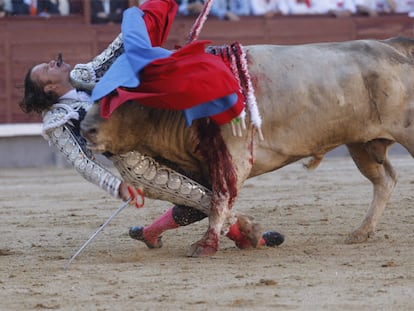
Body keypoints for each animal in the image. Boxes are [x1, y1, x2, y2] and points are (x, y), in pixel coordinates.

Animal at [81, 36, 414, 258]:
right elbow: (194, 205)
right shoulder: (199, 166)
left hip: (405, 134)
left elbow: (218, 200)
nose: (85, 129)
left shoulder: (233, 156)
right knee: (385, 180)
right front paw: (248, 234)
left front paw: (206, 245)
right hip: (361, 145)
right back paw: (362, 232)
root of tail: (394, 46)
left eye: (122, 97)